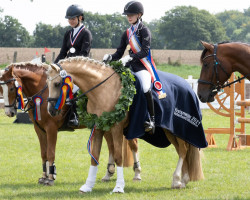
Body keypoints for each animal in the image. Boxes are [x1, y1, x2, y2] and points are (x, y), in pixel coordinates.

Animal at [0, 62, 141, 186]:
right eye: (1, 89)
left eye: (12, 88)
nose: (9, 112)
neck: (42, 93)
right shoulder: (39, 129)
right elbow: (43, 154)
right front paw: (44, 177)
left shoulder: (51, 128)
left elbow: (50, 152)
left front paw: (51, 178)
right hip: (105, 124)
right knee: (112, 146)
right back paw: (108, 174)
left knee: (133, 144)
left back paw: (137, 174)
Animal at [46, 56, 204, 194]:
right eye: (47, 84)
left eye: (57, 84)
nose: (51, 111)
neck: (104, 88)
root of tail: (188, 86)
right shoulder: (98, 126)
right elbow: (94, 156)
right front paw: (88, 186)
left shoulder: (116, 127)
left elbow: (118, 156)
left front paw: (118, 187)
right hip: (169, 131)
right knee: (182, 151)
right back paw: (183, 180)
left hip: (176, 129)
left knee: (183, 150)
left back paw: (177, 179)